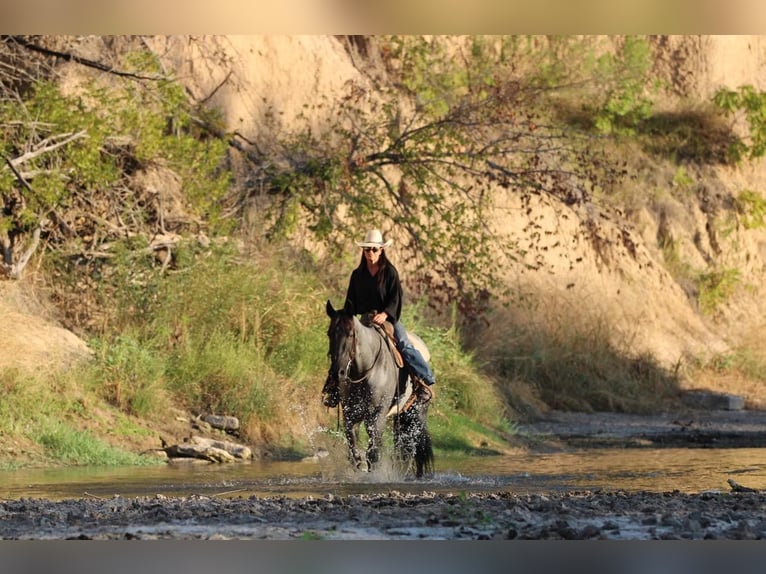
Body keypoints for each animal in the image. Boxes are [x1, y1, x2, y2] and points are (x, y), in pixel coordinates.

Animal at [324, 300, 436, 480]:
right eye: (329, 333)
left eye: (350, 334)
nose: (337, 373)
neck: (364, 371)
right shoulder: (351, 414)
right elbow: (353, 450)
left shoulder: (377, 415)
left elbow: (374, 452)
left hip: (417, 412)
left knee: (412, 445)